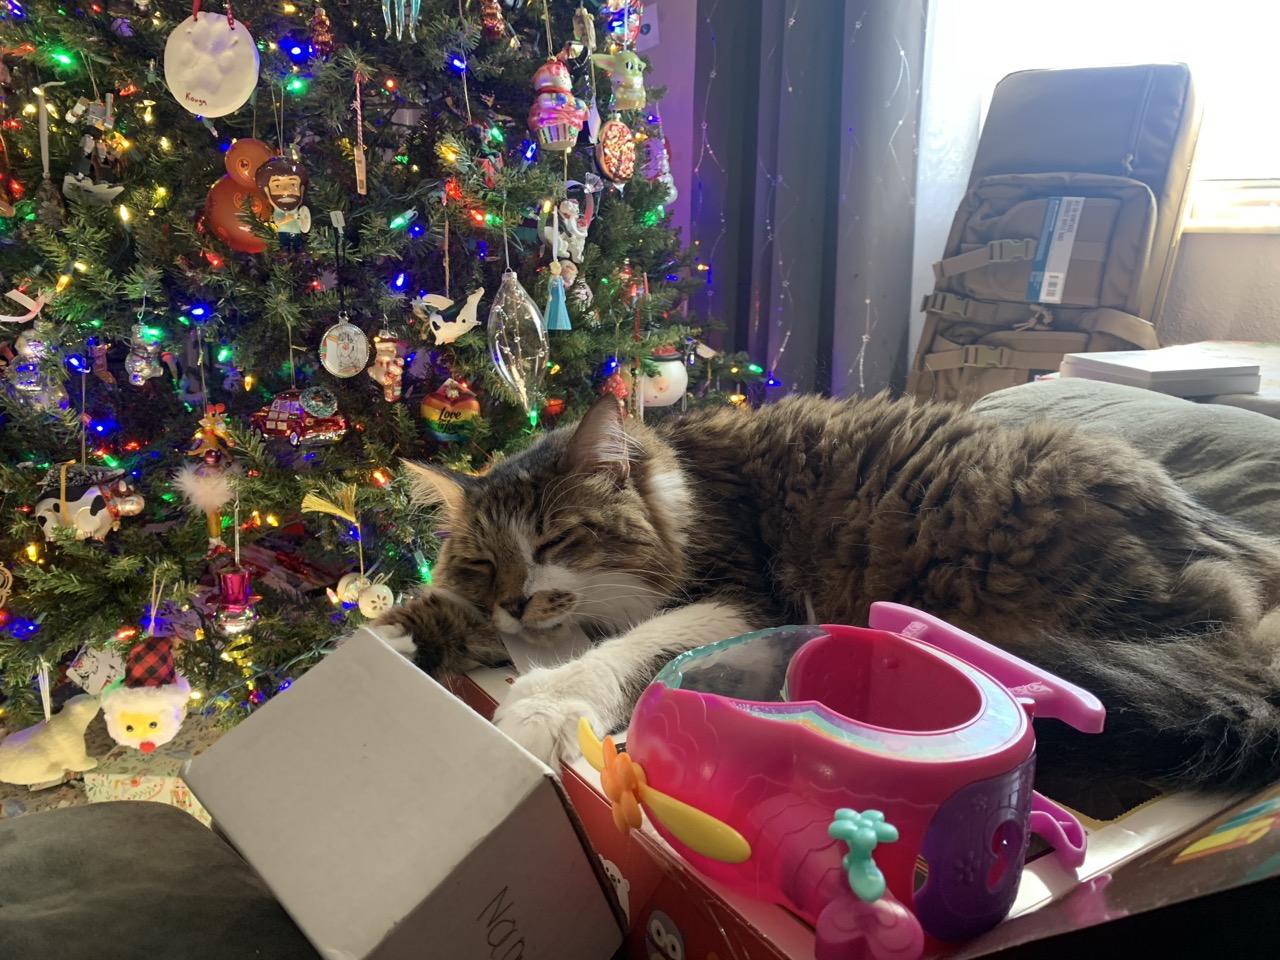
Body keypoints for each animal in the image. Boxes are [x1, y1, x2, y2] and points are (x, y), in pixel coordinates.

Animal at [376, 394, 1280, 790]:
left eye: (557, 541)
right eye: (484, 564)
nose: (518, 602)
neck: (682, 491)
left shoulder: (738, 594)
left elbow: (633, 646)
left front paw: (538, 703)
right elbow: (432, 618)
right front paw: (384, 639)